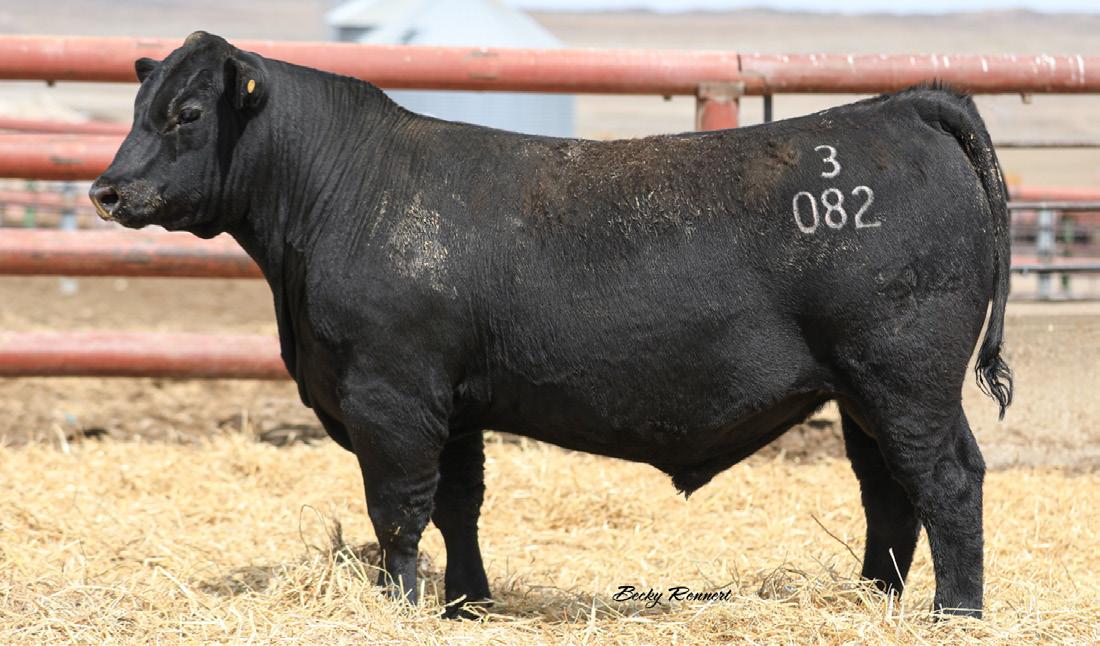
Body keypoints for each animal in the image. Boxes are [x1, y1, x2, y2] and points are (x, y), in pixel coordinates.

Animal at [90, 32, 1012, 619]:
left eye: (188, 113)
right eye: (137, 106)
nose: (107, 189)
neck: (340, 194)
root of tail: (900, 108)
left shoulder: (391, 396)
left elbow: (399, 510)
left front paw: (401, 606)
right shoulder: (453, 403)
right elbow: (458, 506)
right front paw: (466, 603)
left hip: (905, 377)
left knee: (947, 480)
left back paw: (954, 612)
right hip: (861, 391)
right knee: (888, 492)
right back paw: (871, 600)